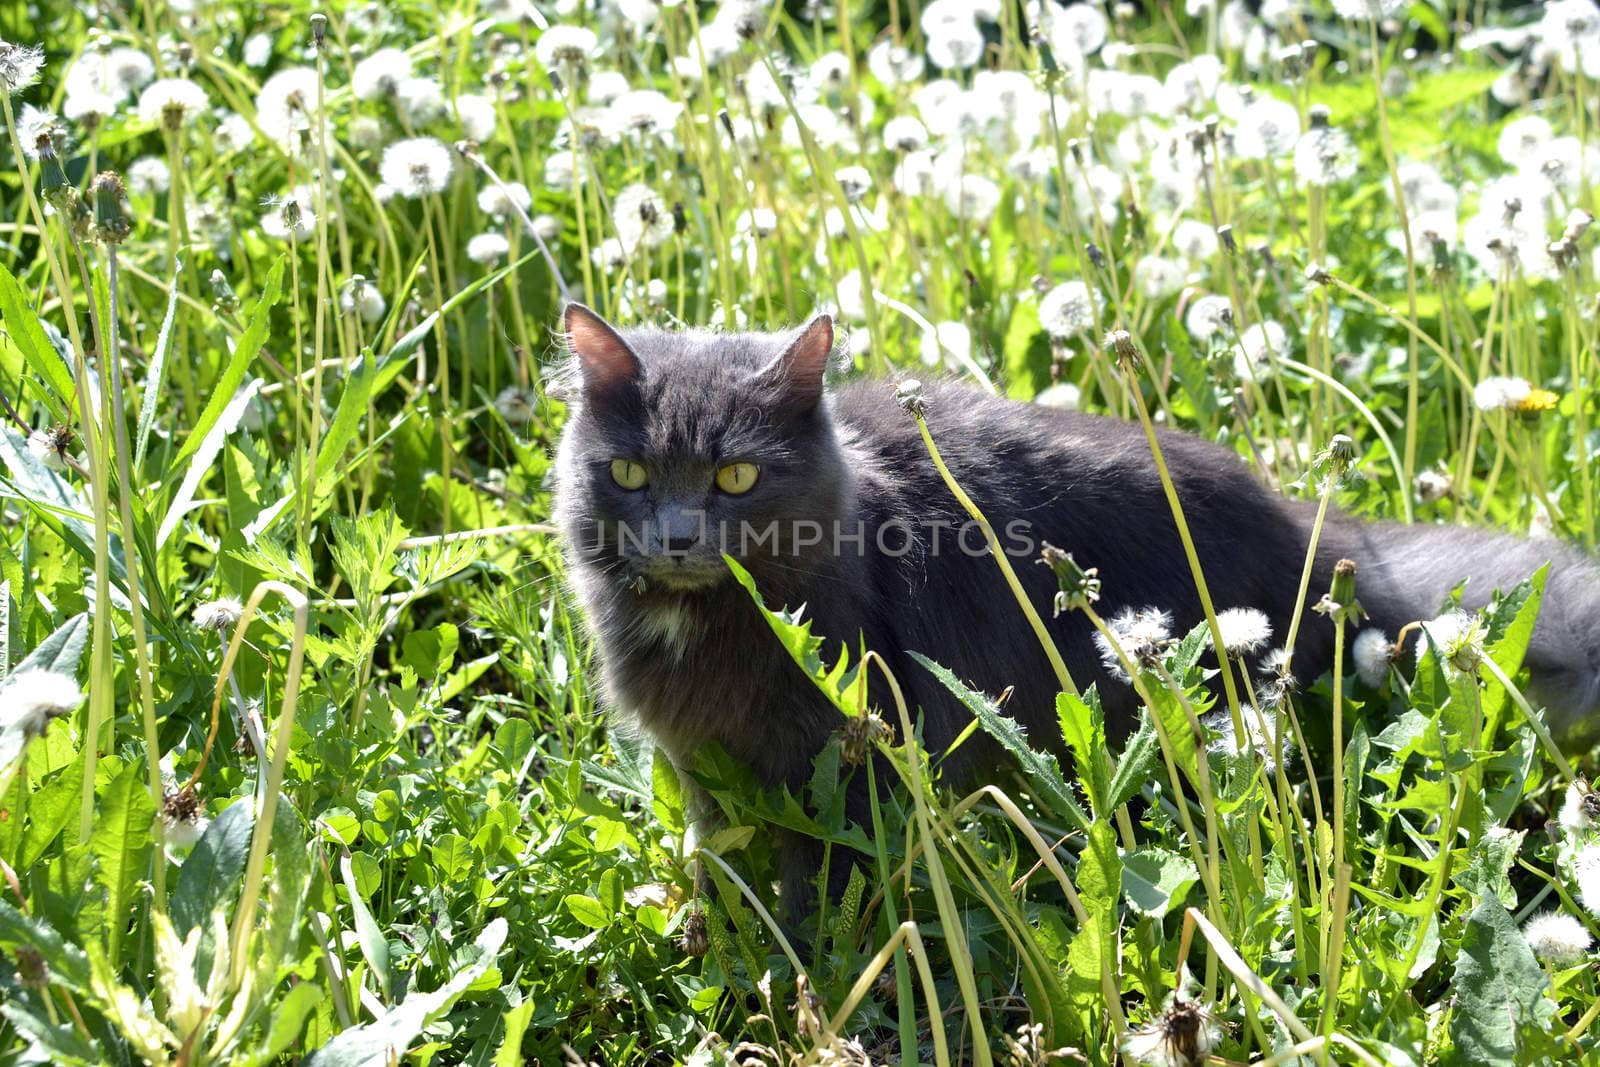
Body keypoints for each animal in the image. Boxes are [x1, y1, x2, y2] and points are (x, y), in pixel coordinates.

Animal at [553, 303, 1600, 895]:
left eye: (734, 478)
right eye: (631, 472)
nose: (676, 537)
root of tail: (1320, 537)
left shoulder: (843, 762)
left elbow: (824, 886)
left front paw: (812, 969)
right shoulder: (706, 765)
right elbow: (726, 859)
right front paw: (727, 935)